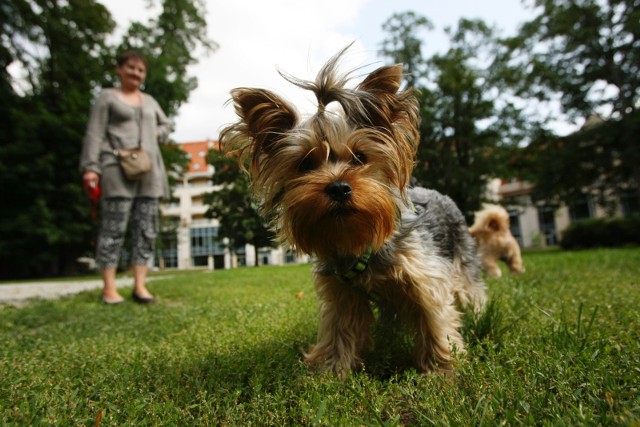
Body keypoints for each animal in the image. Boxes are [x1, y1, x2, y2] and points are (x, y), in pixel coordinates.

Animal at [220, 46, 484, 378]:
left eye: (360, 157)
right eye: (305, 164)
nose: (338, 188)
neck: (357, 238)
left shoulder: (426, 276)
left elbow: (436, 318)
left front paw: (441, 370)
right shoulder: (341, 293)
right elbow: (340, 329)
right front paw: (331, 371)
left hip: (463, 259)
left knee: (470, 293)